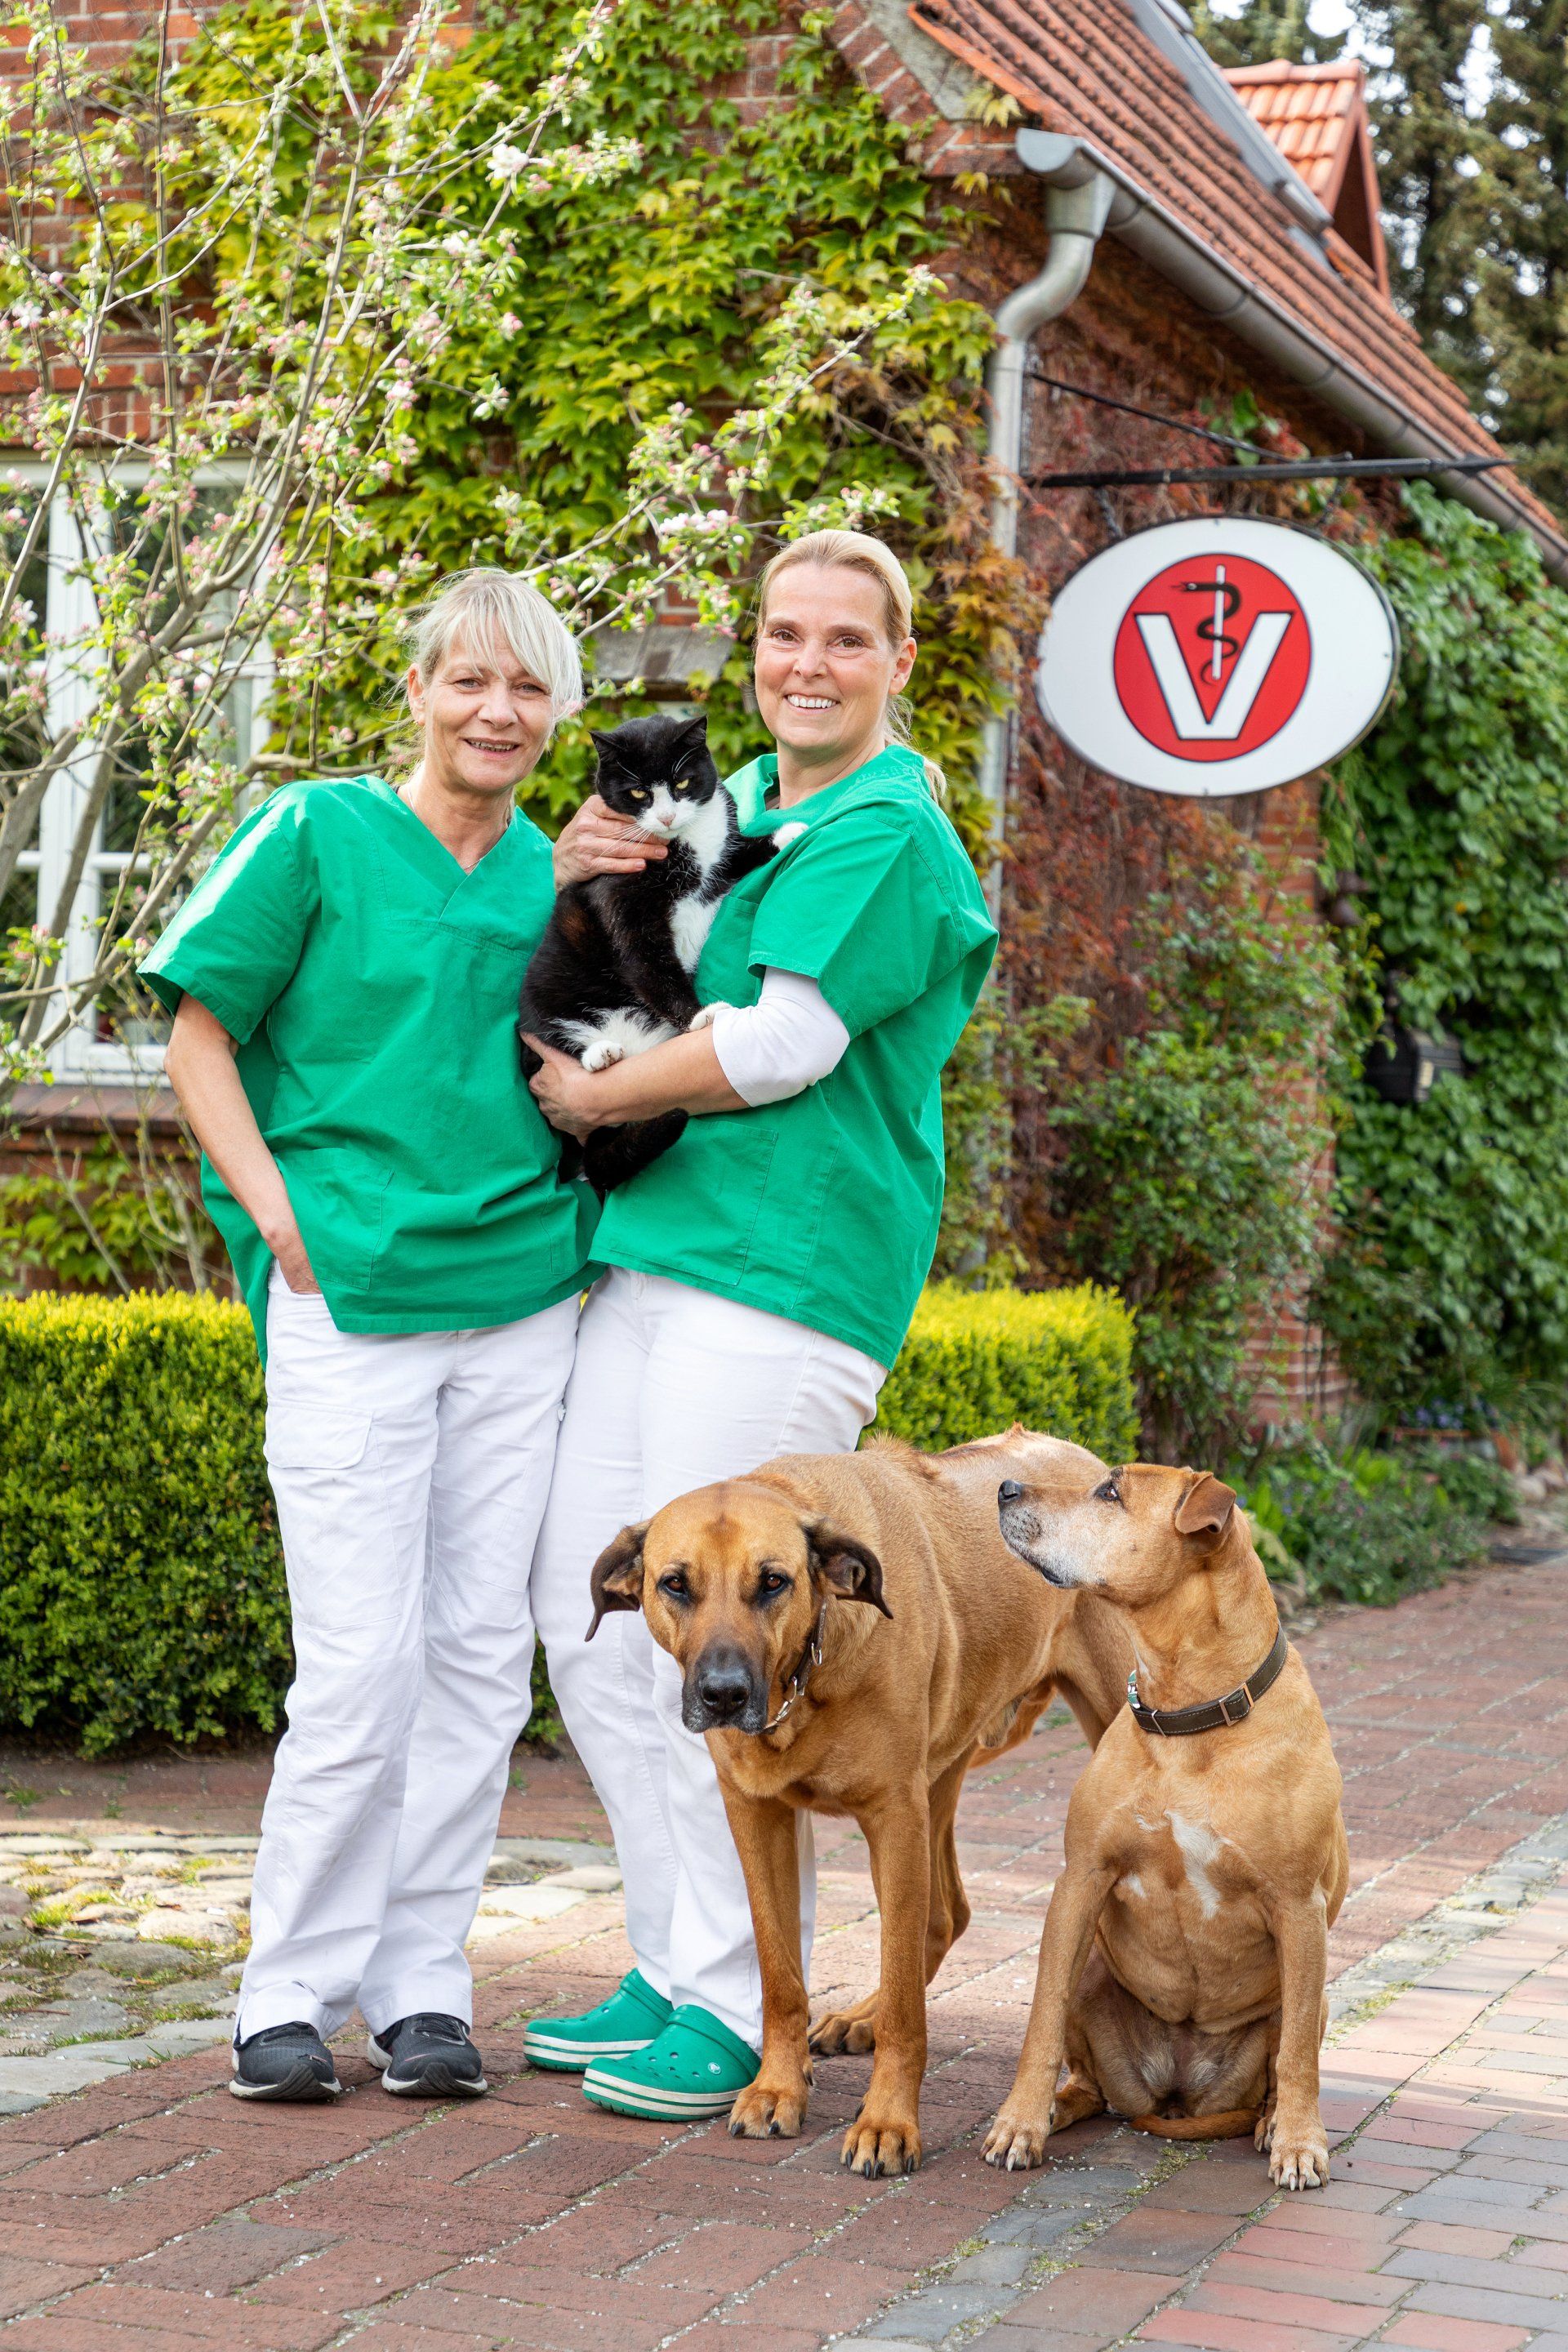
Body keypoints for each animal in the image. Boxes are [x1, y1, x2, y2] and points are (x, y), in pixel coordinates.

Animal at [520, 712, 790, 1194]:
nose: (665, 816)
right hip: (541, 1001)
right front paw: (700, 1016)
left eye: (682, 782)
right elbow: (648, 963)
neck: (683, 844)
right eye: (637, 793)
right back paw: (599, 1053)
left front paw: (790, 832)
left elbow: (740, 850)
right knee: (550, 1043)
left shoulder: (721, 849)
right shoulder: (622, 901)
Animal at [586, 1428, 1133, 2177]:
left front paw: (887, 2123)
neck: (804, 1677)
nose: (723, 1694)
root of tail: (1082, 1458)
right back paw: (859, 2017)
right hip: (942, 1770)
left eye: (773, 1582)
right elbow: (780, 1976)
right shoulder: (755, 1816)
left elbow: (905, 2006)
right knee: (947, 1912)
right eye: (675, 1584)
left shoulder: (893, 1818)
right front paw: (778, 2088)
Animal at [985, 1456, 1348, 2190]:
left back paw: (1272, 2124)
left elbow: (1298, 2054)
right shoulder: (1080, 1882)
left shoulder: (1300, 1908)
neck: (1188, 1712)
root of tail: (1177, 2094)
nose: (1004, 1487)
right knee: (1090, 2081)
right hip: (1092, 1966)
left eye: (1111, 1491)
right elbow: (1040, 2021)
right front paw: (1019, 2122)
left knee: (1281, 2062)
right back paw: (1059, 2109)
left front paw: (1301, 2142)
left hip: (1312, 1990)